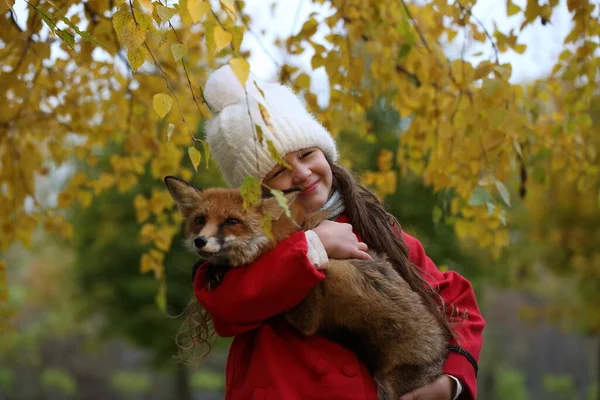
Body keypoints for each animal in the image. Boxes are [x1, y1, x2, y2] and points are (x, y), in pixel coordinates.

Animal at [164, 176, 450, 400]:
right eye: (200, 220)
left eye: (232, 221)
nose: (200, 241)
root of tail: (440, 350)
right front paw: (210, 269)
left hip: (341, 275)